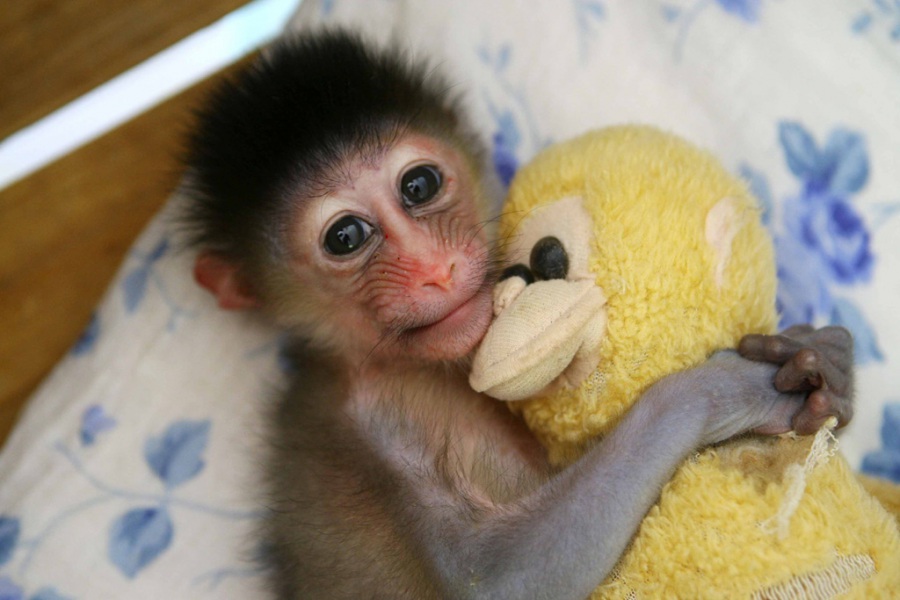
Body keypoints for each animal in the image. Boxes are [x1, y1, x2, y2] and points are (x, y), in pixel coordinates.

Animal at [181, 31, 852, 600]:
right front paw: (728, 389)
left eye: (419, 186)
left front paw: (829, 368)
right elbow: (499, 578)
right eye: (345, 237)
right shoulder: (368, 416)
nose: (435, 268)